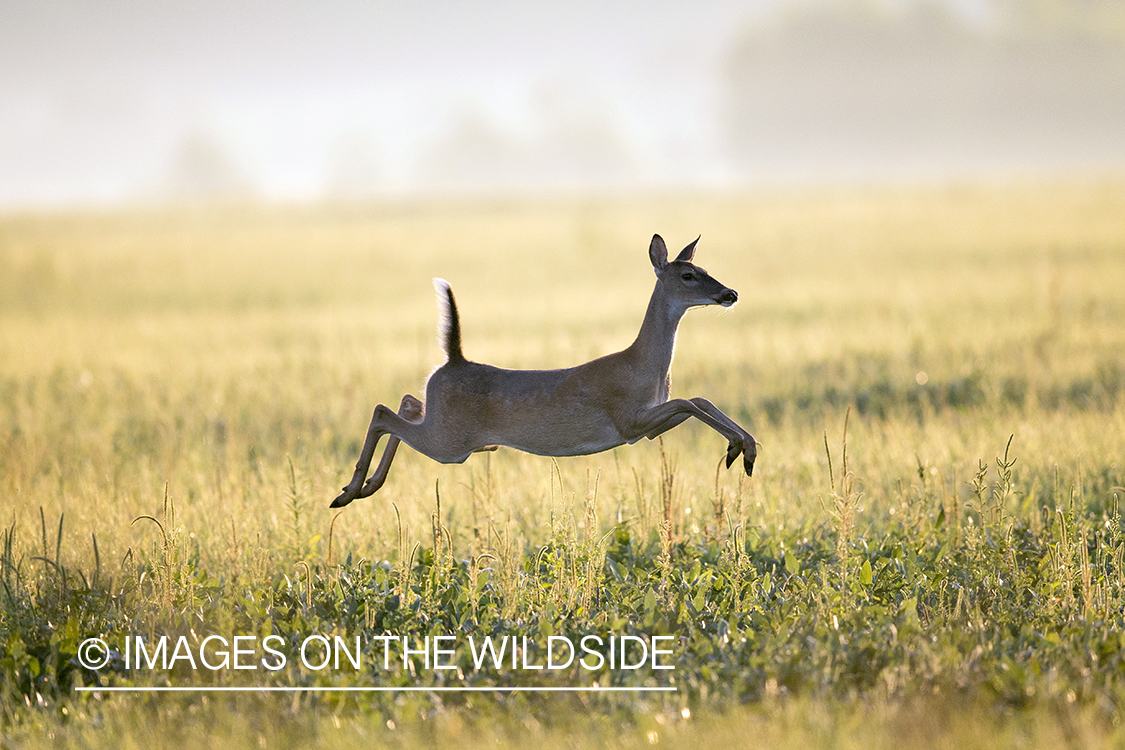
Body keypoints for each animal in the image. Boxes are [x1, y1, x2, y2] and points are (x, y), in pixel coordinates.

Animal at [333, 235, 756, 510]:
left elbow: (697, 399)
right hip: (449, 444)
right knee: (382, 412)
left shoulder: (646, 427)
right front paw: (739, 450)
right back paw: (348, 492)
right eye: (687, 276)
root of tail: (454, 359)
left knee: (406, 402)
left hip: (445, 428)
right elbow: (690, 401)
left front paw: (746, 449)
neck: (643, 366)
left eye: (704, 268)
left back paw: (364, 487)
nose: (730, 293)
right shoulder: (628, 421)